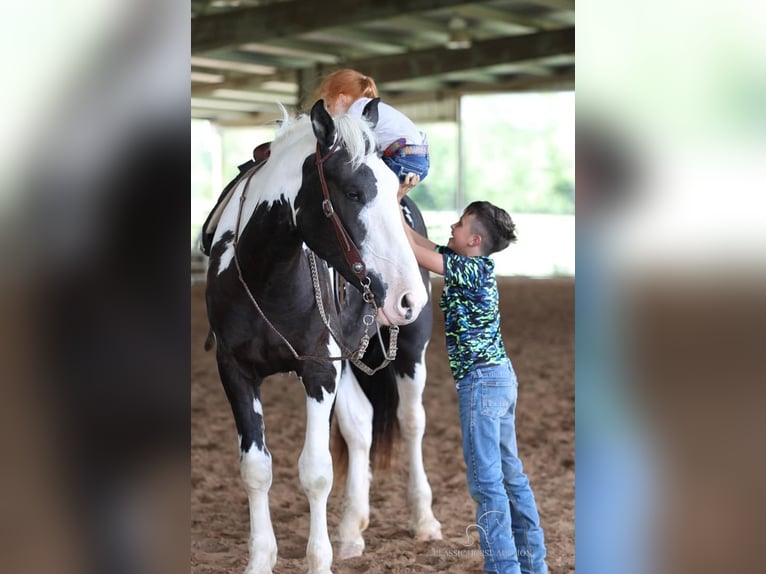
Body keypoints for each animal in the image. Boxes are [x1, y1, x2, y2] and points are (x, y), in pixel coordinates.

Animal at [206, 100, 444, 574]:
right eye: (352, 193)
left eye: (390, 190)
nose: (408, 296)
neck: (267, 275)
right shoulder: (235, 370)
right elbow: (256, 467)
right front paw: (260, 559)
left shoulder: (318, 370)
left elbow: (316, 472)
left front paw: (318, 561)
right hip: (349, 358)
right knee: (361, 425)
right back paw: (351, 530)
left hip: (410, 349)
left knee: (411, 421)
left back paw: (424, 520)